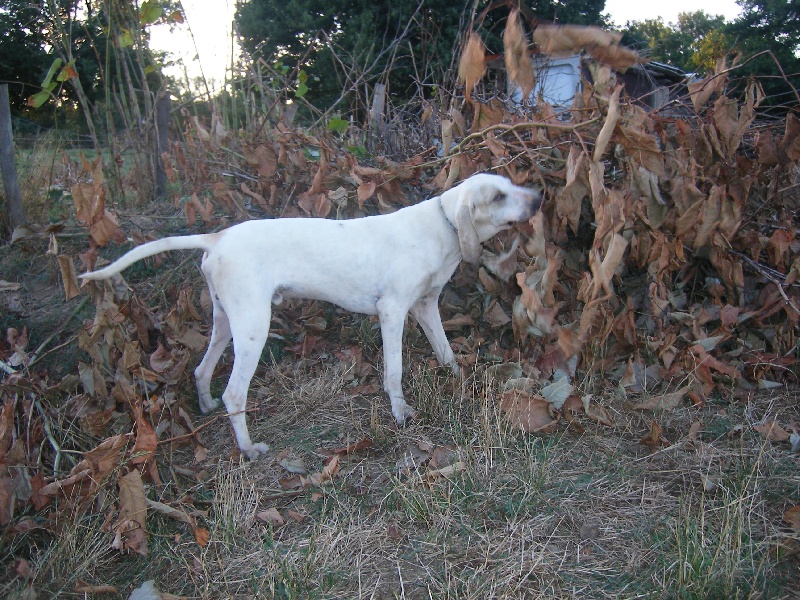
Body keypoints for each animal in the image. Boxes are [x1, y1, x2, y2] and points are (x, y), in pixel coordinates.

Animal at [81, 173, 540, 460]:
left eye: (511, 185)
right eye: (498, 196)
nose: (538, 197)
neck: (443, 224)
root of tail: (218, 236)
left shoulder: (425, 306)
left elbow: (445, 353)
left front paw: (461, 381)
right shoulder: (392, 312)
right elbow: (394, 372)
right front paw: (400, 413)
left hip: (227, 321)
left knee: (201, 370)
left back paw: (208, 404)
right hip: (253, 327)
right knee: (235, 393)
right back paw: (248, 449)